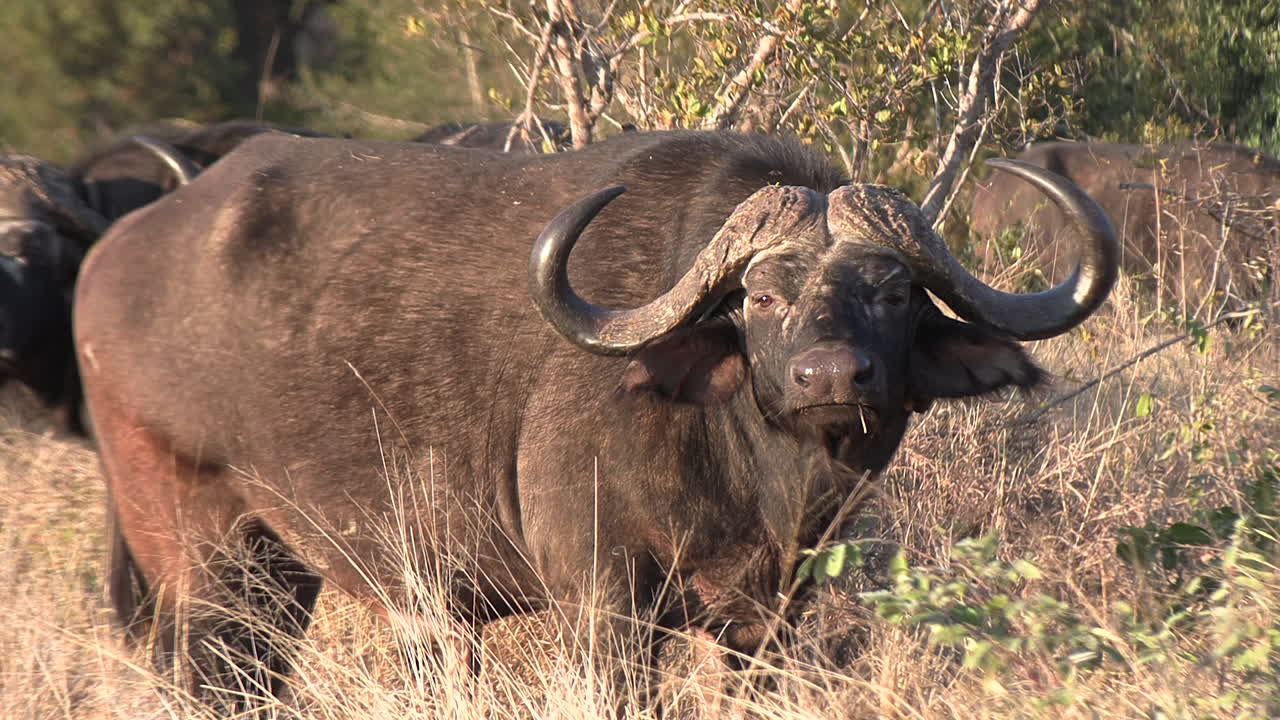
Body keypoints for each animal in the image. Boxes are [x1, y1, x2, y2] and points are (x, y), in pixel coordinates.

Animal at [75, 130, 1118, 710]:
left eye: (894, 293)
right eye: (761, 296)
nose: (831, 375)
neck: (744, 465)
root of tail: (116, 250)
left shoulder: (773, 617)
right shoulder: (603, 602)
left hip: (279, 570)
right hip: (200, 550)